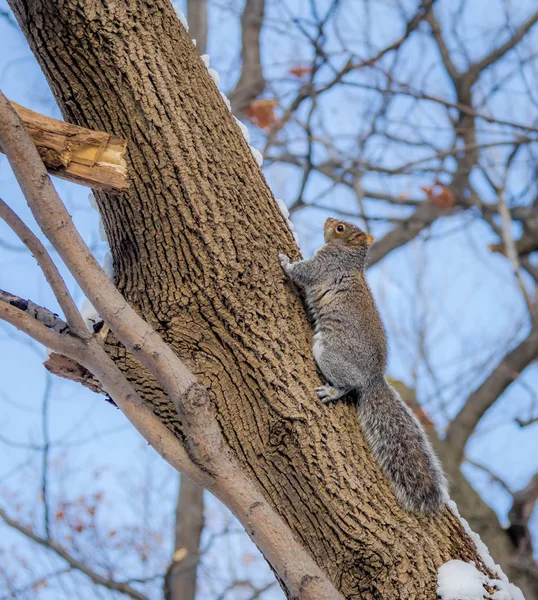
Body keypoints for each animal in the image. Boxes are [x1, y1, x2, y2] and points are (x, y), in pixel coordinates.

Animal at [278, 218, 446, 512]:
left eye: (341, 228)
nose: (328, 220)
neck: (350, 256)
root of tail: (372, 378)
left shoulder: (326, 265)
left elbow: (304, 271)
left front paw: (285, 260)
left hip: (328, 352)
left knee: (347, 386)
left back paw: (332, 391)